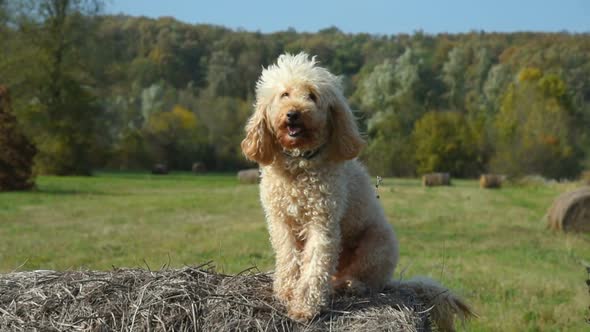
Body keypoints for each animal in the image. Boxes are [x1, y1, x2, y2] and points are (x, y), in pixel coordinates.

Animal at [242, 53, 476, 330]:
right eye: (284, 94)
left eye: (312, 96)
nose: (293, 114)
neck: (299, 167)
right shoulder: (281, 223)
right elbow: (289, 261)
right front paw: (287, 293)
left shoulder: (322, 223)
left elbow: (314, 267)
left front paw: (304, 308)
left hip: (376, 247)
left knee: (366, 280)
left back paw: (350, 285)